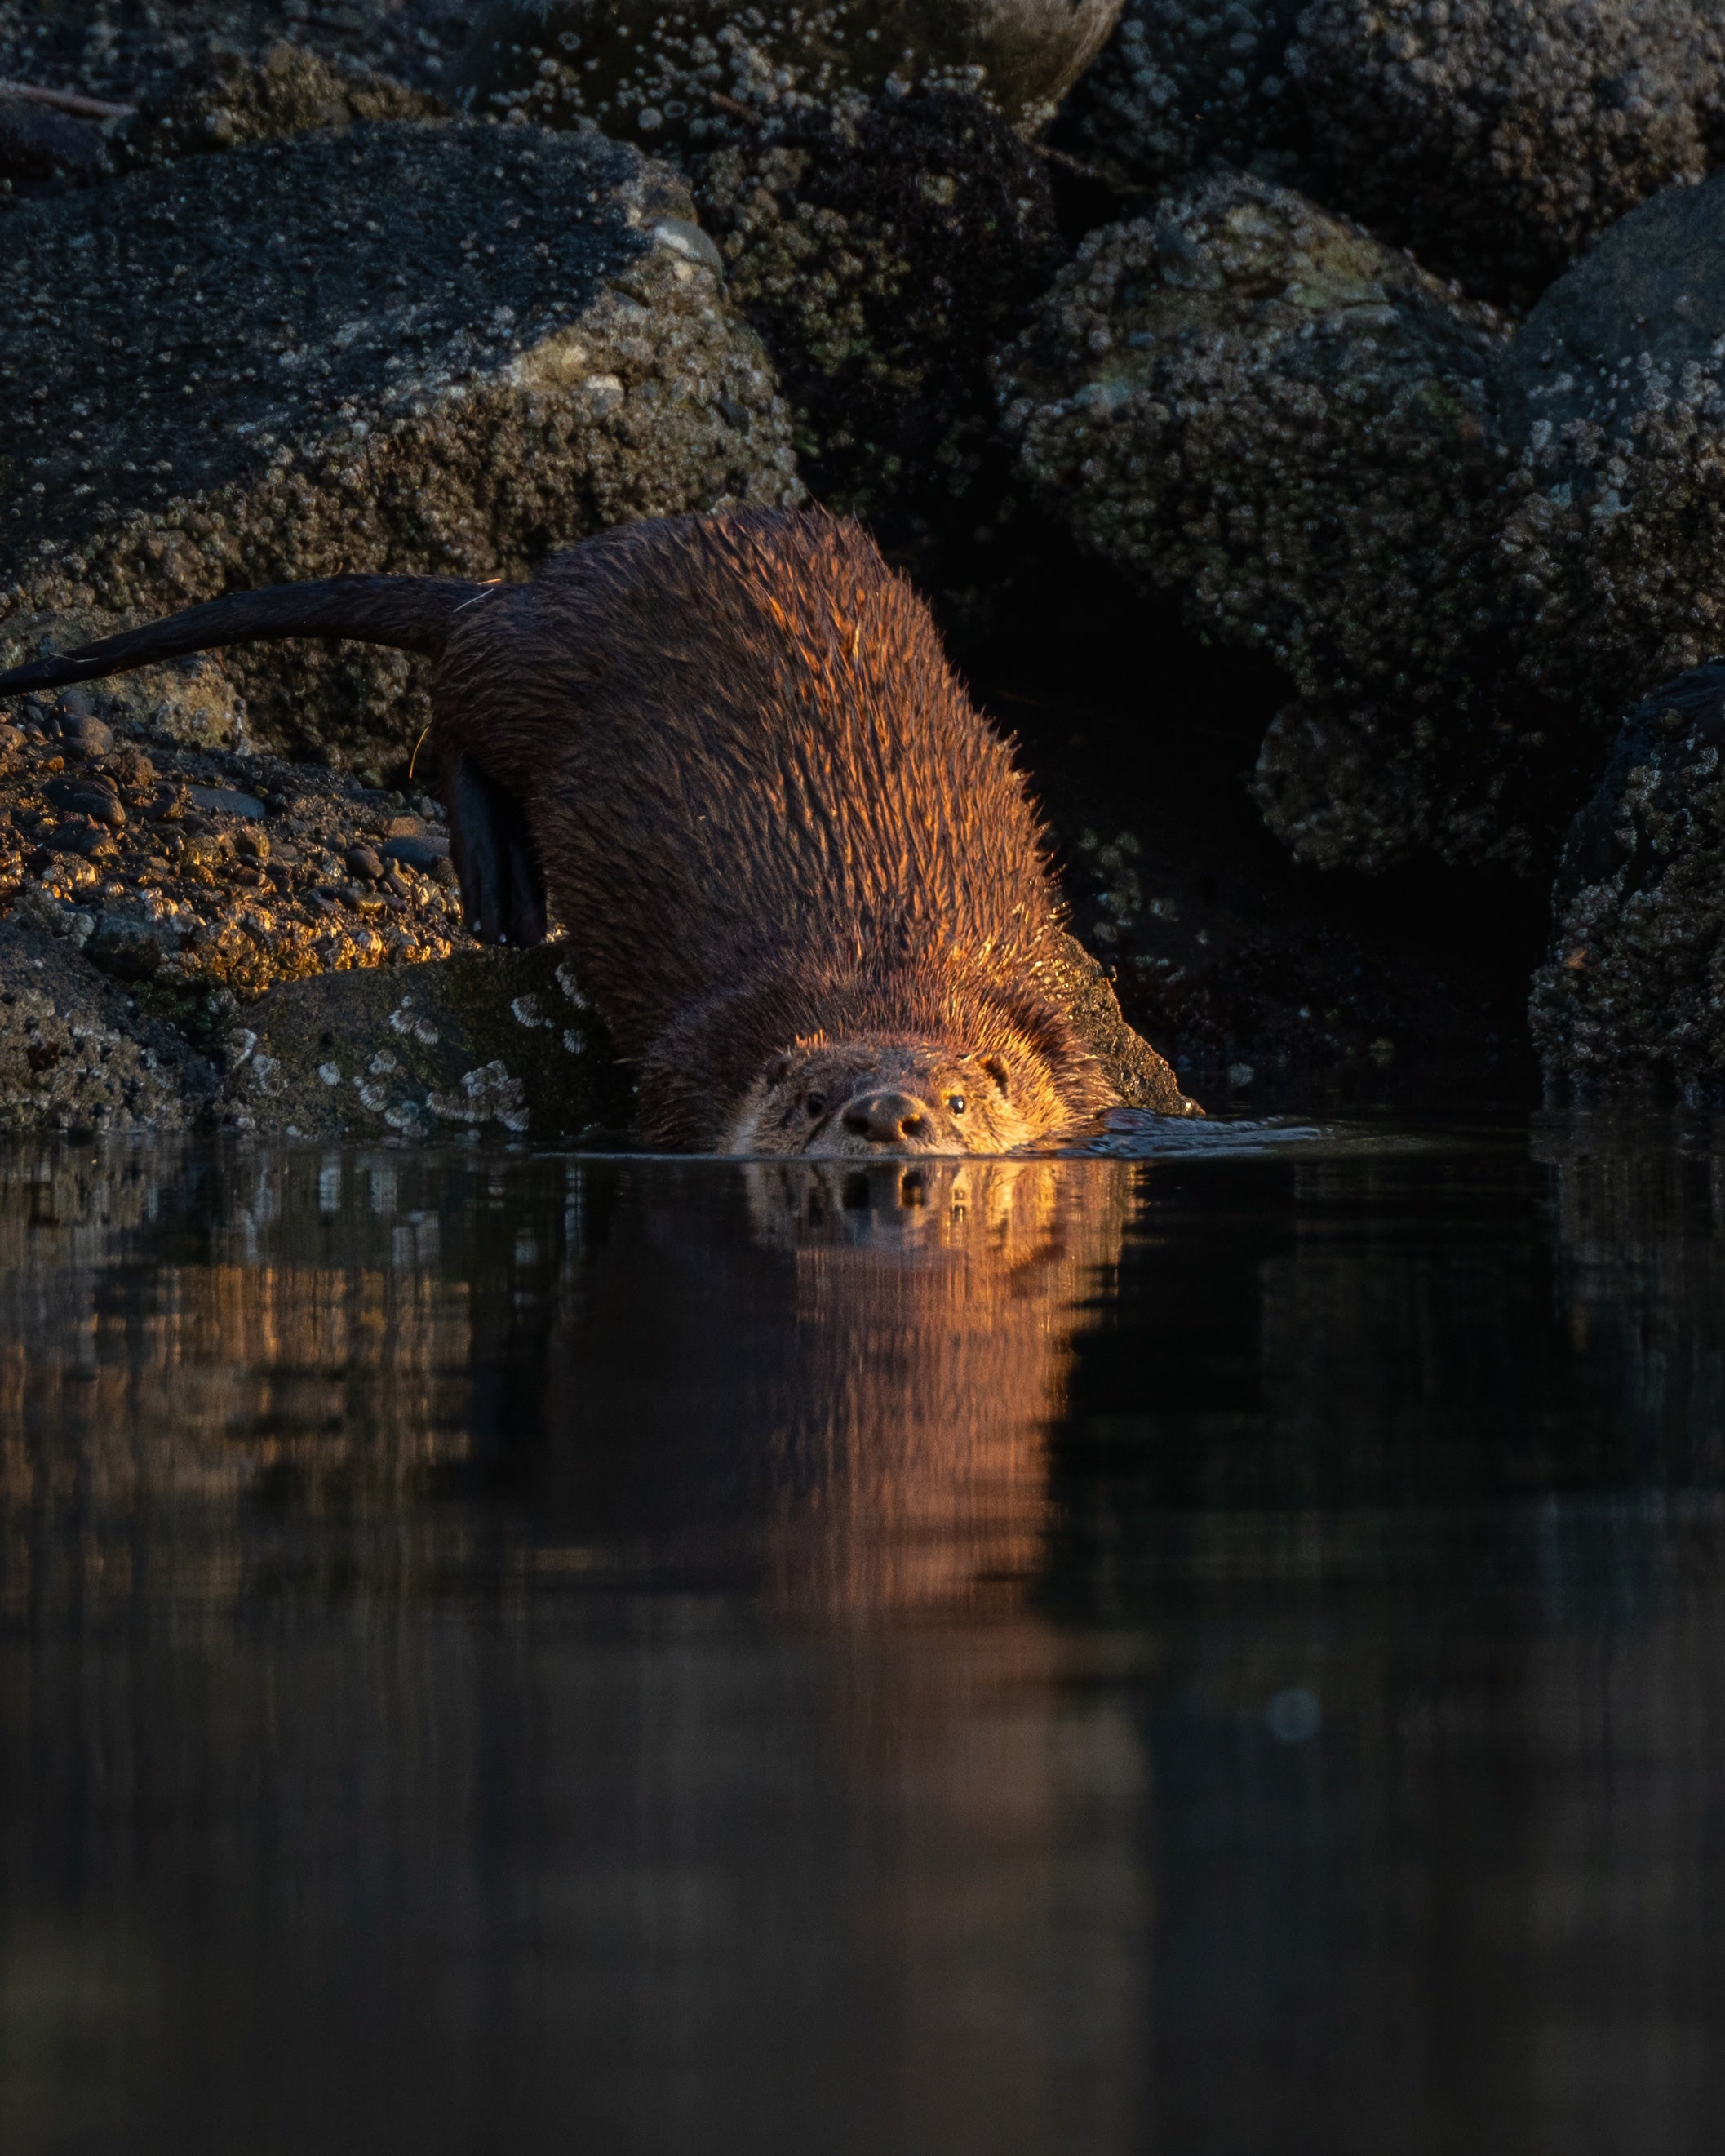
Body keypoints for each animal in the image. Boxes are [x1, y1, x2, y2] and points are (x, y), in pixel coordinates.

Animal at [0, 508, 1148, 1154]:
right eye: (816, 1098)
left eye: (953, 1100)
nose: (887, 1118)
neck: (883, 965)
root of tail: (531, 588)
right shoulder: (690, 1071)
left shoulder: (1070, 1062)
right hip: (528, 682)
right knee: (452, 715)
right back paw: (502, 893)